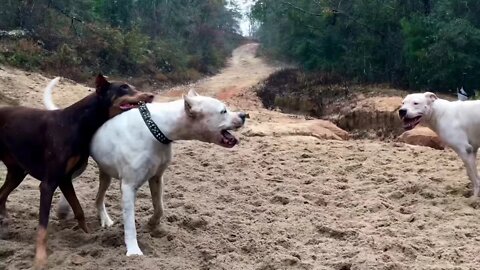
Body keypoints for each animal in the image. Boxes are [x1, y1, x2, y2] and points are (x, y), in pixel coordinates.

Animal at [0, 74, 154, 268]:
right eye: (124, 87)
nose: (151, 95)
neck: (78, 122)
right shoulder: (49, 183)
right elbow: (43, 226)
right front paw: (40, 259)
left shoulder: (65, 179)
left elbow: (79, 210)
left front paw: (87, 235)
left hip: (17, 172)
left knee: (1, 195)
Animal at [44, 79, 248, 255]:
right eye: (223, 111)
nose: (244, 115)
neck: (158, 127)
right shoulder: (128, 187)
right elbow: (130, 224)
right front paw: (133, 251)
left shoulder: (157, 178)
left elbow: (160, 207)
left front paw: (152, 223)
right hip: (82, 166)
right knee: (70, 182)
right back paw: (64, 209)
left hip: (106, 172)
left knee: (98, 196)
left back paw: (103, 218)